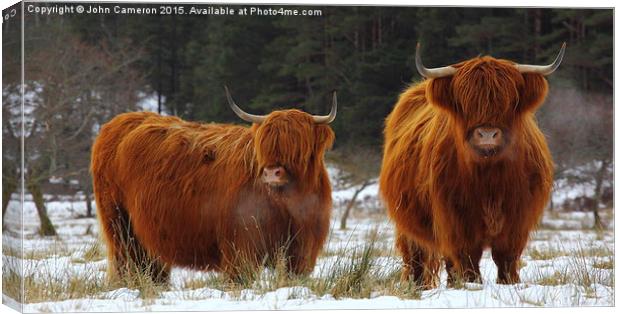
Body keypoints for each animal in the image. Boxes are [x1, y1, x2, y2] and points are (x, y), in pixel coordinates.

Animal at [89, 87, 336, 282]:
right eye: (264, 144)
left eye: (298, 144)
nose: (271, 173)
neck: (288, 204)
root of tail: (120, 121)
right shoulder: (242, 248)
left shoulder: (302, 251)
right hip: (120, 225)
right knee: (128, 262)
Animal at [378, 43, 568, 288]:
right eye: (464, 102)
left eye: (509, 100)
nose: (487, 134)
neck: (490, 177)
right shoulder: (456, 221)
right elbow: (468, 259)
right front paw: (472, 285)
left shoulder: (518, 220)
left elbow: (506, 258)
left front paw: (509, 283)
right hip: (408, 223)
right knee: (416, 257)